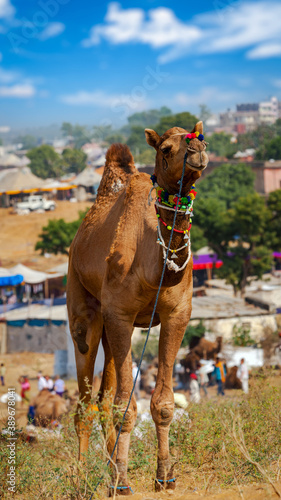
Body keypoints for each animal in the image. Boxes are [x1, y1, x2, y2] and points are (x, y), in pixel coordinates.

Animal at [66, 120, 207, 492]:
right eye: (166, 149)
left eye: (203, 140)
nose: (197, 153)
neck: (153, 268)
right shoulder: (120, 315)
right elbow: (125, 407)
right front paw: (122, 481)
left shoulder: (177, 314)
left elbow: (163, 403)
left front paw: (165, 476)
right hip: (84, 308)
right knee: (85, 402)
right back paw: (83, 478)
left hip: (112, 328)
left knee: (103, 398)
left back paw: (107, 469)